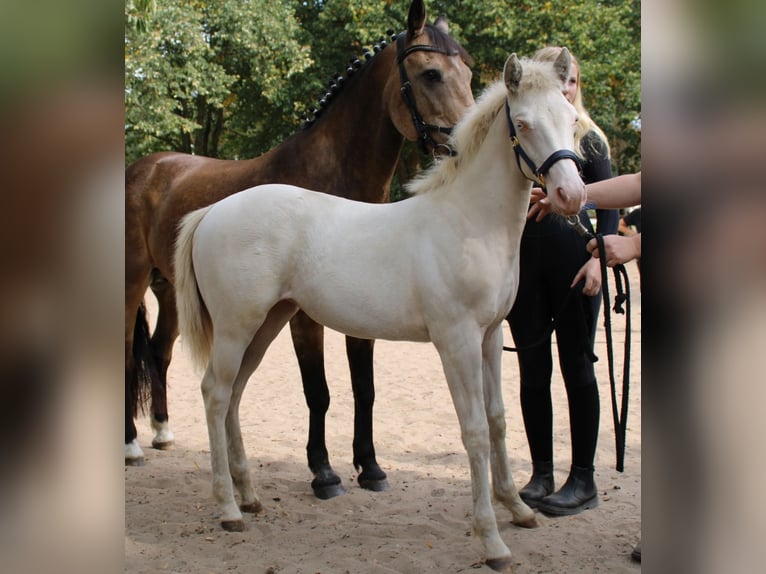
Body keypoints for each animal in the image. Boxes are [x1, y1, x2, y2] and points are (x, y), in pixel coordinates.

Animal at [125, 0, 475, 499]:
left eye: (468, 69)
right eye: (430, 73)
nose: (468, 141)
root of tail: (145, 167)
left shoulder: (361, 307)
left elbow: (364, 388)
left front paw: (370, 467)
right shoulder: (305, 316)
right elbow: (319, 391)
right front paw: (323, 472)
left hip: (168, 291)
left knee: (158, 352)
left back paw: (161, 431)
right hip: (132, 281)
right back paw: (132, 445)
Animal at [173, 49, 585, 571]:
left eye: (571, 119)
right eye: (525, 124)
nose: (572, 195)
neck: (467, 222)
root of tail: (213, 211)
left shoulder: (492, 337)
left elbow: (497, 420)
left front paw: (517, 509)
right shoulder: (457, 342)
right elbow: (473, 430)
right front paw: (491, 539)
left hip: (266, 324)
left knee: (234, 394)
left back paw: (248, 497)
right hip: (234, 328)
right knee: (214, 393)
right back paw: (228, 509)